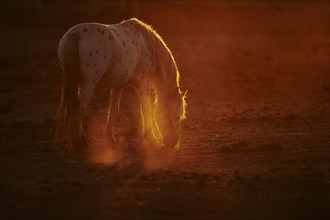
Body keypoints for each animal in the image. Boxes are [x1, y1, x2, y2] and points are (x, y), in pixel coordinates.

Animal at [55, 18, 187, 150]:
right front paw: (152, 140)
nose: (174, 142)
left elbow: (114, 110)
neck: (146, 44)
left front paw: (109, 138)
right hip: (88, 84)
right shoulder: (143, 84)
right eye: (177, 115)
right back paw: (78, 142)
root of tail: (74, 34)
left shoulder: (117, 86)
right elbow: (146, 109)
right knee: (79, 108)